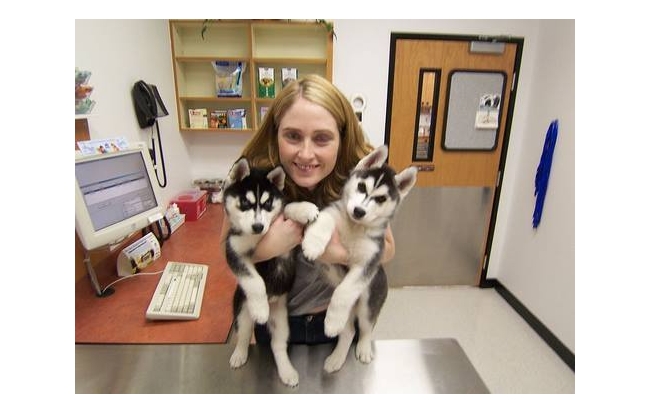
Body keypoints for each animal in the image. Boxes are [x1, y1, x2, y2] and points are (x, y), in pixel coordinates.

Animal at [220, 158, 316, 386]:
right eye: (245, 203)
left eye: (267, 204)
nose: (257, 226)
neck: (258, 236)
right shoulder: (234, 249)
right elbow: (254, 280)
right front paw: (260, 307)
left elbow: (287, 206)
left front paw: (304, 208)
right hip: (242, 311)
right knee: (244, 335)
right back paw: (239, 354)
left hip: (282, 322)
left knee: (278, 345)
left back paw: (287, 371)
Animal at [300, 146, 416, 374]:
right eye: (362, 186)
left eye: (381, 199)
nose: (359, 211)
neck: (354, 227)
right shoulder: (332, 212)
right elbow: (323, 220)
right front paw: (313, 244)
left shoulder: (368, 262)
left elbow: (344, 291)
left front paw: (332, 321)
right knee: (349, 331)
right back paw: (336, 358)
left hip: (368, 300)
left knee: (365, 328)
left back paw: (362, 348)